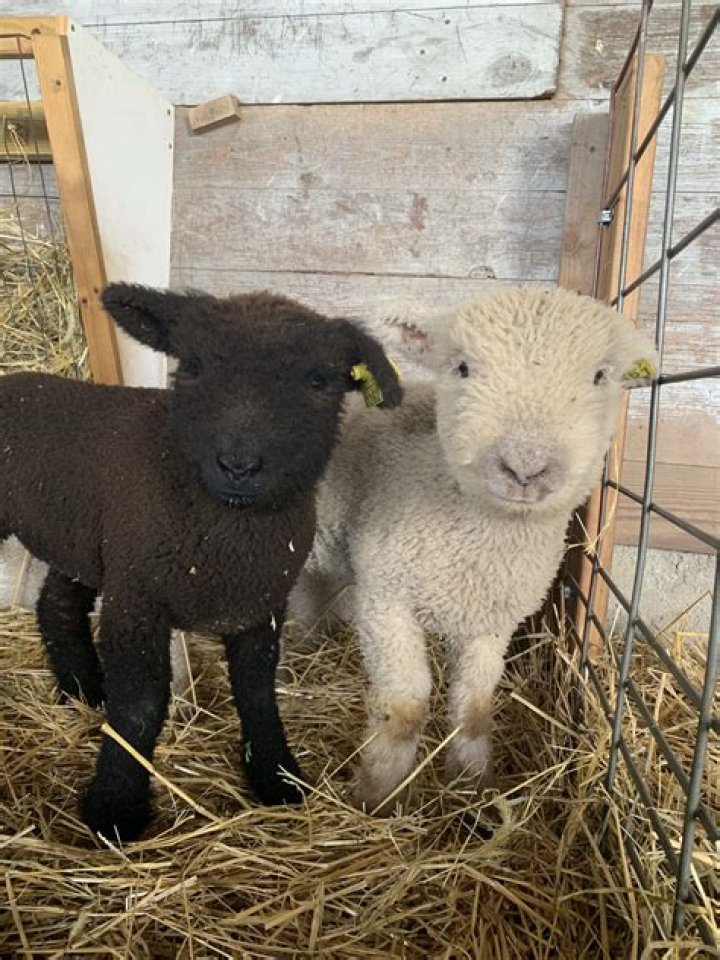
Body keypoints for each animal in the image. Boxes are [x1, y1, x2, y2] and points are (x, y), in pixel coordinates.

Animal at [0, 284, 401, 841]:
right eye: (191, 365)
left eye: (318, 380)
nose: (239, 466)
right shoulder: (136, 598)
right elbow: (140, 706)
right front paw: (115, 810)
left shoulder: (261, 606)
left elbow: (257, 694)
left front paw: (278, 777)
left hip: (85, 538)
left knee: (56, 604)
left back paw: (83, 690)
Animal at [289, 286, 657, 812]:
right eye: (461, 367)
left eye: (600, 376)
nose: (524, 468)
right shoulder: (385, 599)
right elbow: (404, 707)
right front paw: (379, 797)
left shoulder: (493, 621)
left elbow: (475, 707)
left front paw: (472, 787)